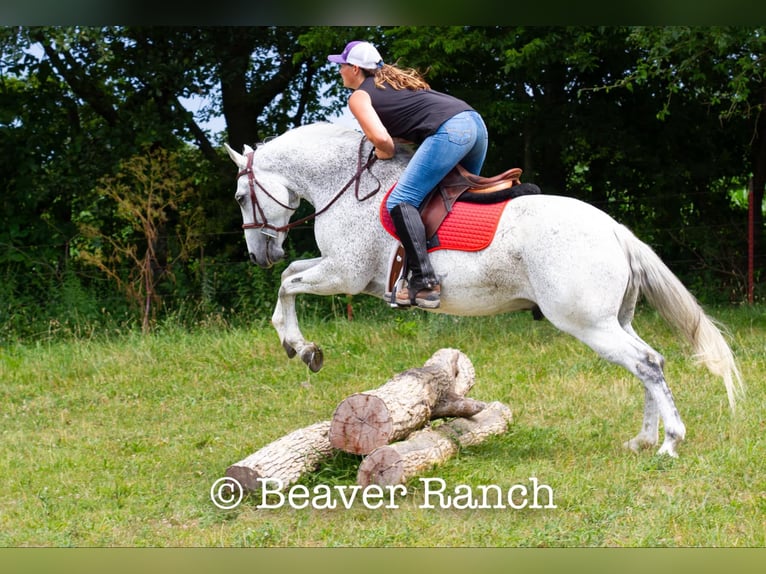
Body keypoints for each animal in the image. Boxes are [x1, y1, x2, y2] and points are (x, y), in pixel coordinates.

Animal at [225, 122, 748, 460]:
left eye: (240, 197)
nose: (258, 255)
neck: (346, 185)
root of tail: (617, 230)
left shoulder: (344, 274)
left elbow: (287, 284)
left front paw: (299, 346)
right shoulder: (344, 274)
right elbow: (292, 273)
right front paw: (302, 346)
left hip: (589, 324)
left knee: (647, 364)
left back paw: (669, 442)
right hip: (614, 320)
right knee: (648, 362)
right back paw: (643, 440)